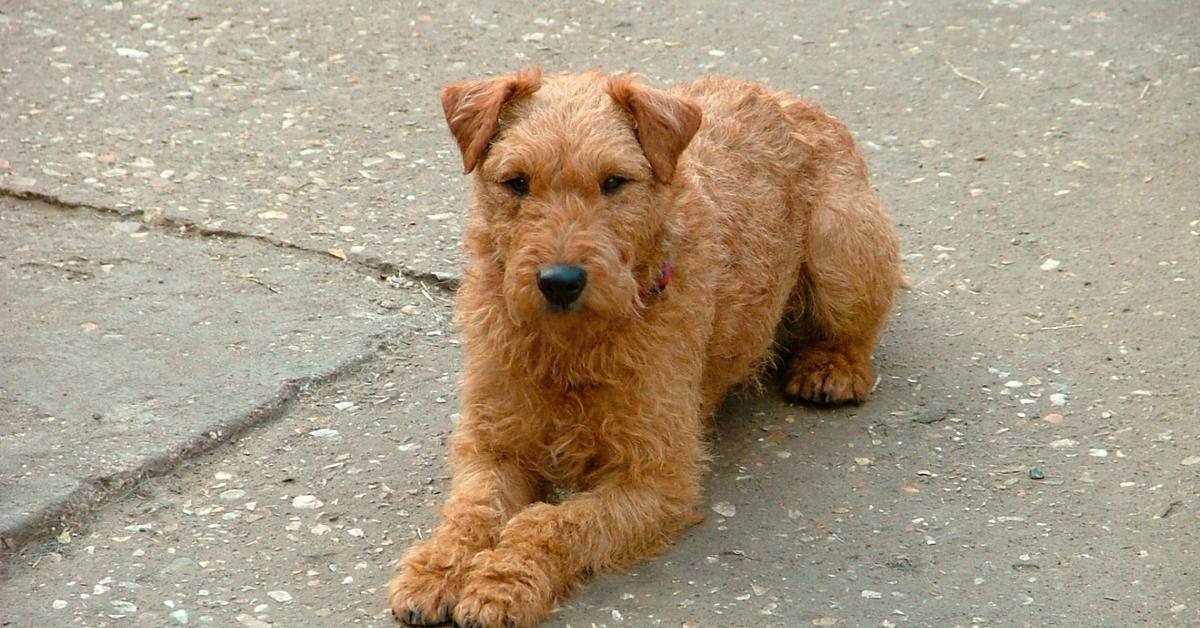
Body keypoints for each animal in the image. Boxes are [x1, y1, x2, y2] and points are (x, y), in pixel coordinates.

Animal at [386, 68, 902, 628]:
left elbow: (552, 522)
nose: (560, 281)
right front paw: (436, 569)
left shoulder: (657, 478)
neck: (569, 349)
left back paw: (832, 367)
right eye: (517, 182)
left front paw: (503, 582)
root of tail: (789, 99)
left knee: (858, 328)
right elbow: (472, 512)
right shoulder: (491, 446)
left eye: (614, 181)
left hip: (839, 244)